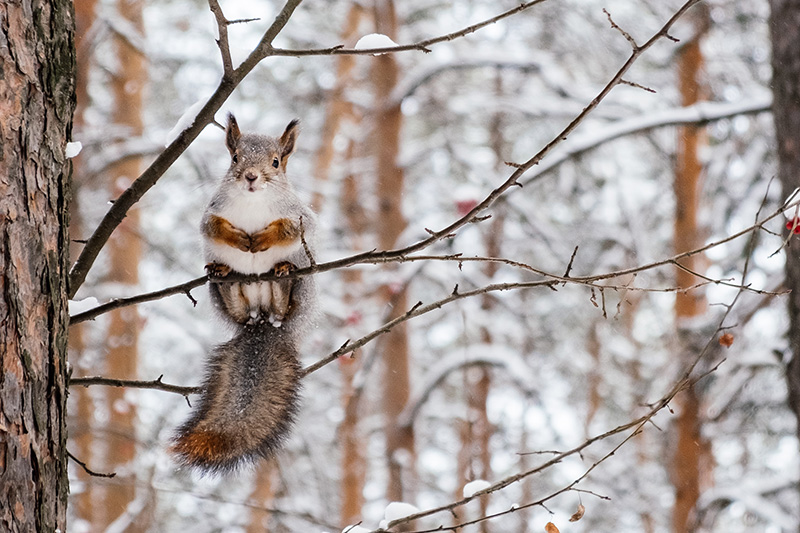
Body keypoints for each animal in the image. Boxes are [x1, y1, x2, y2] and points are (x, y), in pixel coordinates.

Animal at [171, 114, 316, 472]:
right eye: (235, 158)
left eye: (276, 162)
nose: (251, 176)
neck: (253, 201)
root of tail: (261, 320)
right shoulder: (211, 213)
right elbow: (212, 227)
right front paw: (238, 239)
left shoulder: (301, 216)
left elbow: (290, 229)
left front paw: (262, 240)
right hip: (221, 294)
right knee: (233, 298)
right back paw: (226, 275)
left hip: (300, 291)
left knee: (283, 301)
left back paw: (282, 275)